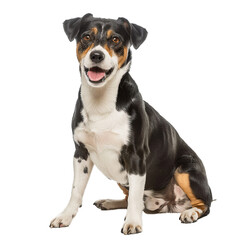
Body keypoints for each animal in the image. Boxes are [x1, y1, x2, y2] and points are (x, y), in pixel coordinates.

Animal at [48, 13, 212, 234]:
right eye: (86, 37)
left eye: (115, 39)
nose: (97, 55)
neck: (101, 101)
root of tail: (170, 204)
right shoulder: (81, 153)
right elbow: (76, 190)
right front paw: (65, 215)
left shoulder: (135, 156)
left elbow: (135, 196)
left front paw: (133, 222)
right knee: (130, 199)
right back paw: (109, 202)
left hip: (185, 168)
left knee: (204, 204)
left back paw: (191, 213)